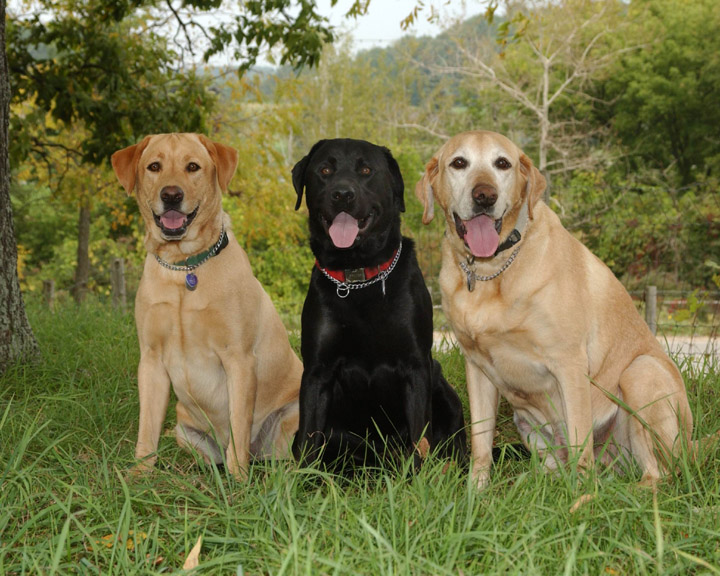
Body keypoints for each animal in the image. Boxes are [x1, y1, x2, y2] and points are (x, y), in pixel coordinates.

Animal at [292, 137, 466, 470]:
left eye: (366, 170)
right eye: (324, 170)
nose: (342, 194)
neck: (358, 277)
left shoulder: (416, 366)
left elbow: (419, 438)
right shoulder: (317, 371)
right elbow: (308, 441)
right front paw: (301, 481)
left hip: (446, 394)